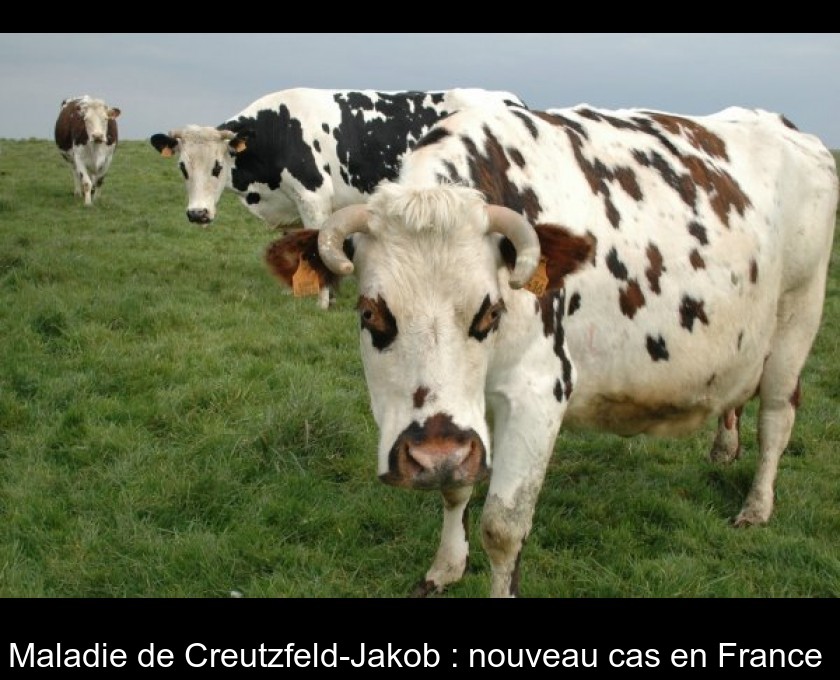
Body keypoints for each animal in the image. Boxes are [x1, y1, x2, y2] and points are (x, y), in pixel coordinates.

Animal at [151, 86, 524, 310]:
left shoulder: (313, 196)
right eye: (183, 167)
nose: (197, 213)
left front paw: (323, 301)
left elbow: (317, 246)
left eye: (217, 167)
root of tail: (511, 99)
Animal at [266, 102, 836, 596]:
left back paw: (757, 506)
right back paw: (723, 448)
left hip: (797, 319)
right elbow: (457, 486)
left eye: (490, 312)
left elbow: (503, 526)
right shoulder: (467, 421)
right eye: (369, 313)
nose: (431, 455)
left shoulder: (537, 391)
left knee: (777, 418)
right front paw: (445, 567)